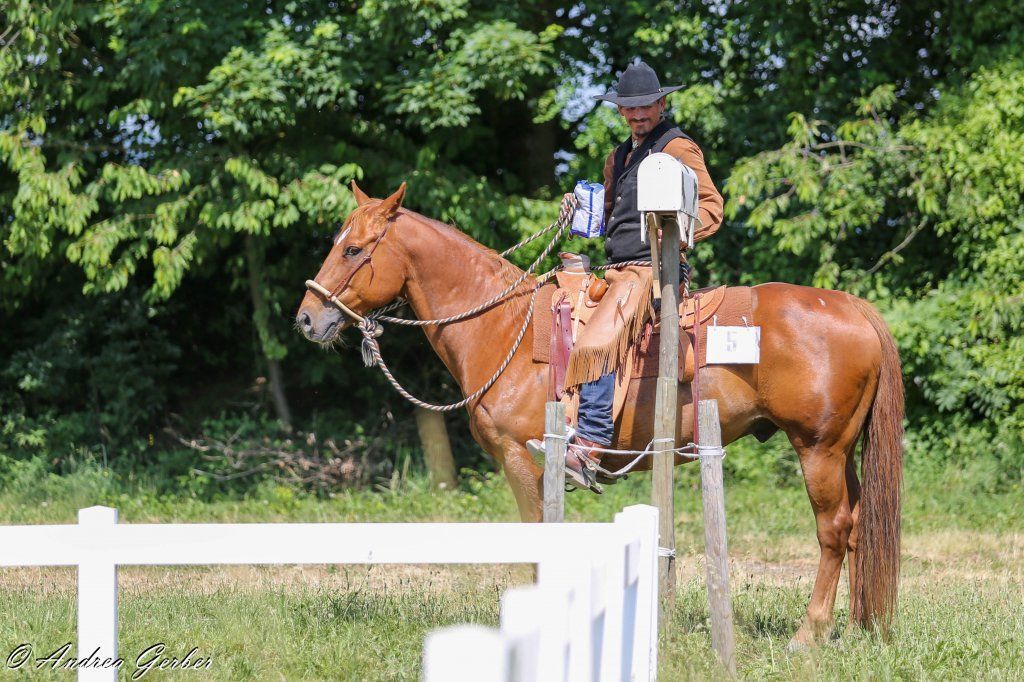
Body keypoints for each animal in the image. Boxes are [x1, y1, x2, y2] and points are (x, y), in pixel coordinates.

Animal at [295, 182, 904, 647]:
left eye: (353, 250)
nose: (306, 318)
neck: (503, 329)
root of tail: (856, 308)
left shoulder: (521, 458)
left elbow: (536, 536)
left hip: (818, 448)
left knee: (834, 530)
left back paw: (810, 633)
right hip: (843, 451)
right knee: (857, 529)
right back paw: (856, 627)